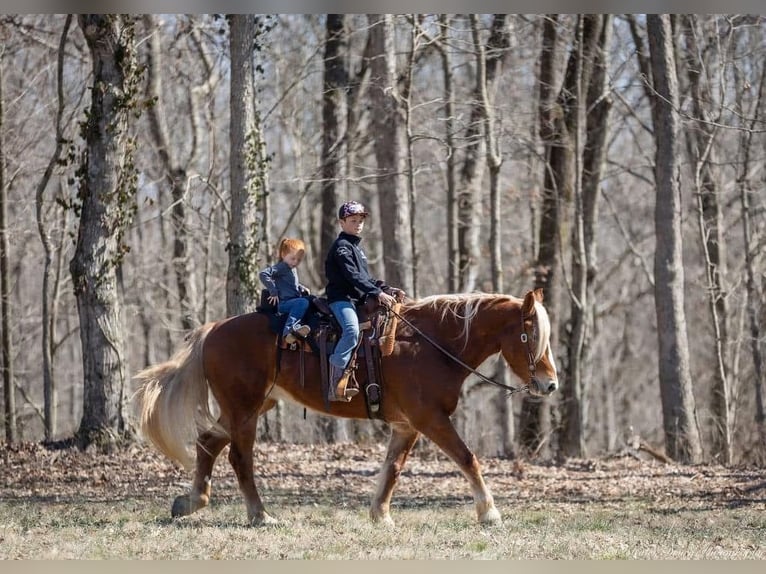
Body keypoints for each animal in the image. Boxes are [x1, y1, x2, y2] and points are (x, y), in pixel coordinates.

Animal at [135, 290, 560, 528]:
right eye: (529, 335)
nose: (550, 384)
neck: (431, 344)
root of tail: (214, 330)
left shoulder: (407, 425)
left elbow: (392, 469)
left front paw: (380, 515)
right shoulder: (431, 419)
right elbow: (468, 458)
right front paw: (489, 513)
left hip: (249, 406)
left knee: (208, 442)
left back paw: (192, 502)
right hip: (244, 409)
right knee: (240, 459)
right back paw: (259, 515)